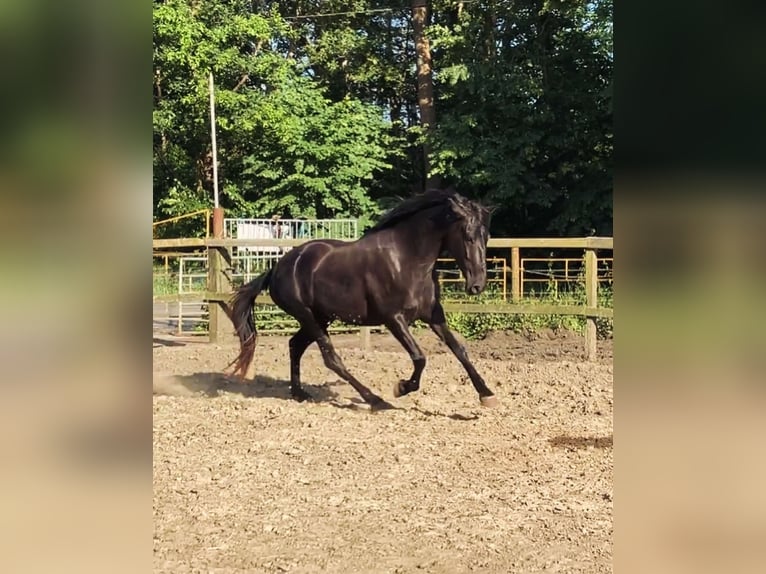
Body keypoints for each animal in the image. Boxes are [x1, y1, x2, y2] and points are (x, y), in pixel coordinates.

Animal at [230, 188, 498, 410]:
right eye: (467, 236)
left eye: (486, 236)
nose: (477, 285)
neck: (407, 260)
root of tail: (276, 268)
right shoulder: (394, 319)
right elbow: (420, 357)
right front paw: (400, 388)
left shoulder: (433, 315)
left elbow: (460, 350)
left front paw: (486, 394)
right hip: (308, 316)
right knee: (331, 359)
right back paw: (374, 399)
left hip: (320, 317)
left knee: (295, 346)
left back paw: (299, 394)